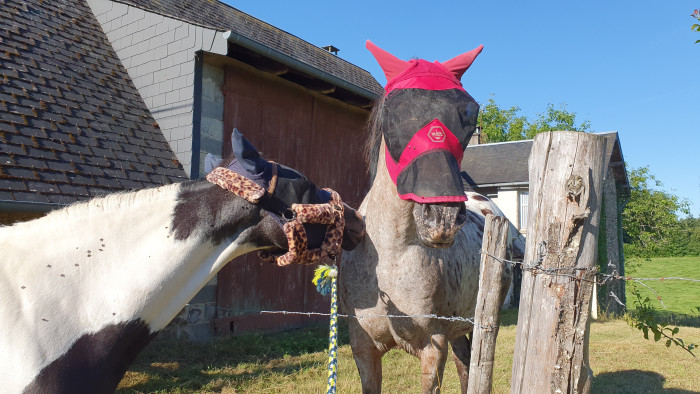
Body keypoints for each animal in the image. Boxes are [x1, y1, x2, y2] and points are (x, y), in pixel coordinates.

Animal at [340, 41, 512, 392]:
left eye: (469, 112)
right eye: (394, 111)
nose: (442, 217)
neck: (391, 261)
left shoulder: (433, 347)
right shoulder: (363, 348)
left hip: (483, 323)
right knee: (465, 366)